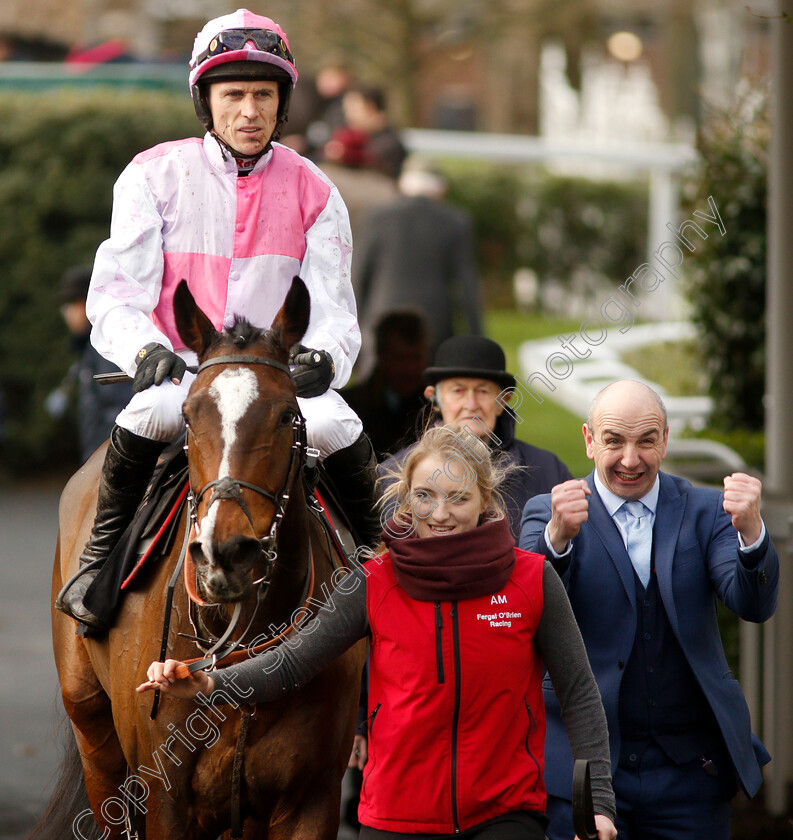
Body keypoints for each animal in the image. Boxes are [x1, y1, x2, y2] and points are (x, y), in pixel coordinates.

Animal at [41, 278, 368, 840]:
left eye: (288, 414)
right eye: (190, 415)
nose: (225, 553)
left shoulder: (310, 800)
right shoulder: (165, 799)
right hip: (96, 742)